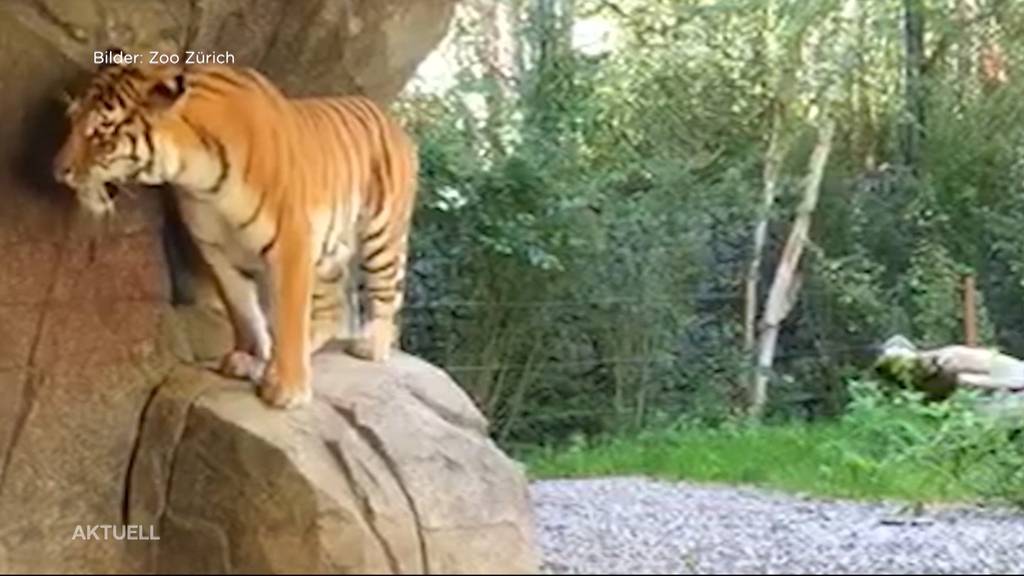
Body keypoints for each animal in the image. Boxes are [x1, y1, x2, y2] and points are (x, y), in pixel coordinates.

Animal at [50, 49, 419, 407]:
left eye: (100, 133)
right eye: (71, 120)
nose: (58, 171)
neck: (196, 174)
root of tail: (394, 122)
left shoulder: (292, 242)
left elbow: (289, 316)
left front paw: (288, 389)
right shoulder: (217, 248)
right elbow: (243, 310)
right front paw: (251, 359)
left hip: (381, 236)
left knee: (386, 293)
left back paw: (372, 347)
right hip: (328, 249)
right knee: (333, 305)